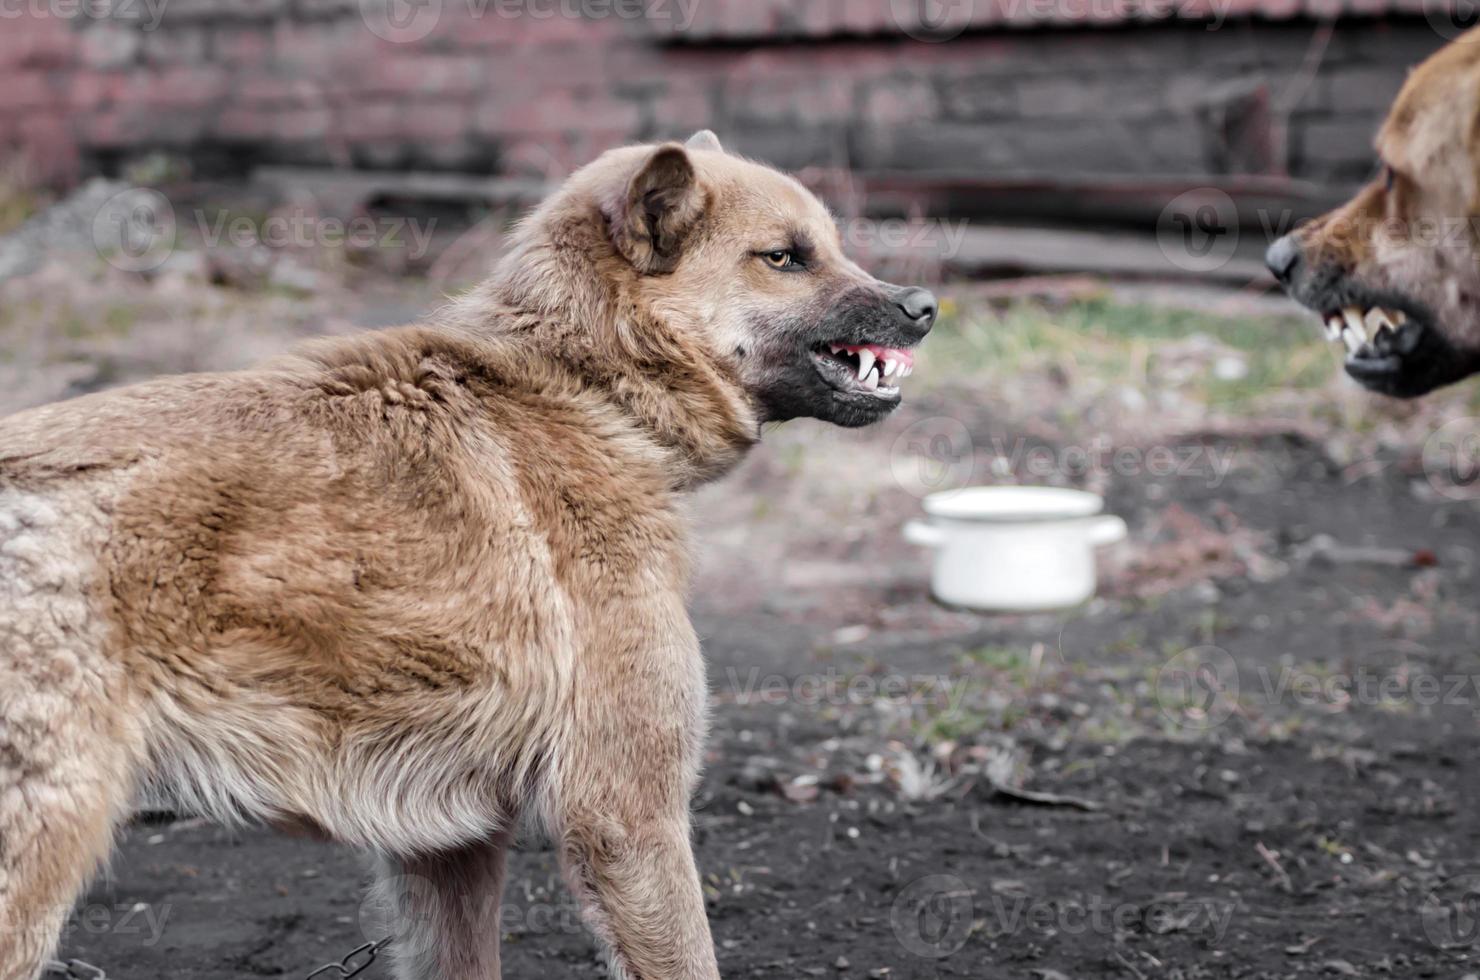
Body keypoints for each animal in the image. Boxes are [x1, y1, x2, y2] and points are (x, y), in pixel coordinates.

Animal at [0, 132, 929, 980]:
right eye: (785, 257)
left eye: (833, 245)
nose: (923, 304)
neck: (584, 390)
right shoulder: (627, 815)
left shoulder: (448, 849)